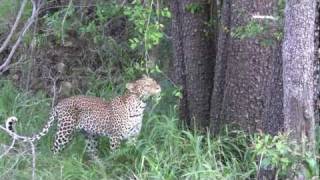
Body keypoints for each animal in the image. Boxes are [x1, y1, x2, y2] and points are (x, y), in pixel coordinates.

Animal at [5, 75, 160, 157]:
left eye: (154, 81)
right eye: (147, 85)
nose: (158, 87)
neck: (139, 107)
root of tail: (60, 103)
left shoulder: (133, 137)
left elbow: (132, 152)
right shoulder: (115, 137)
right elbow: (115, 154)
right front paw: (115, 163)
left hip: (90, 136)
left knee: (93, 153)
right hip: (65, 132)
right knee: (54, 149)